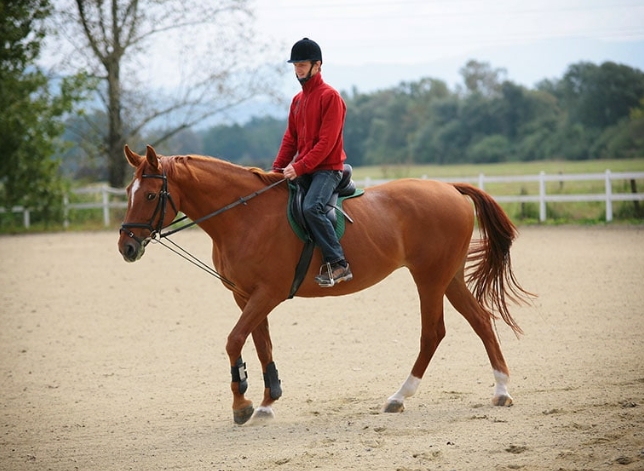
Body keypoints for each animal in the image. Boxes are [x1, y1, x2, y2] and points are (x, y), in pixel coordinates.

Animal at [117, 144, 532, 424]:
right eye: (127, 194)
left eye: (151, 195)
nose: (127, 246)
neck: (244, 216)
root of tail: (451, 188)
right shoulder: (245, 295)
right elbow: (262, 344)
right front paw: (268, 401)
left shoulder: (267, 294)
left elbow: (234, 340)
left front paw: (242, 404)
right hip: (448, 277)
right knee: (480, 320)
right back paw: (501, 390)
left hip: (429, 277)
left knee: (433, 333)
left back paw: (400, 396)